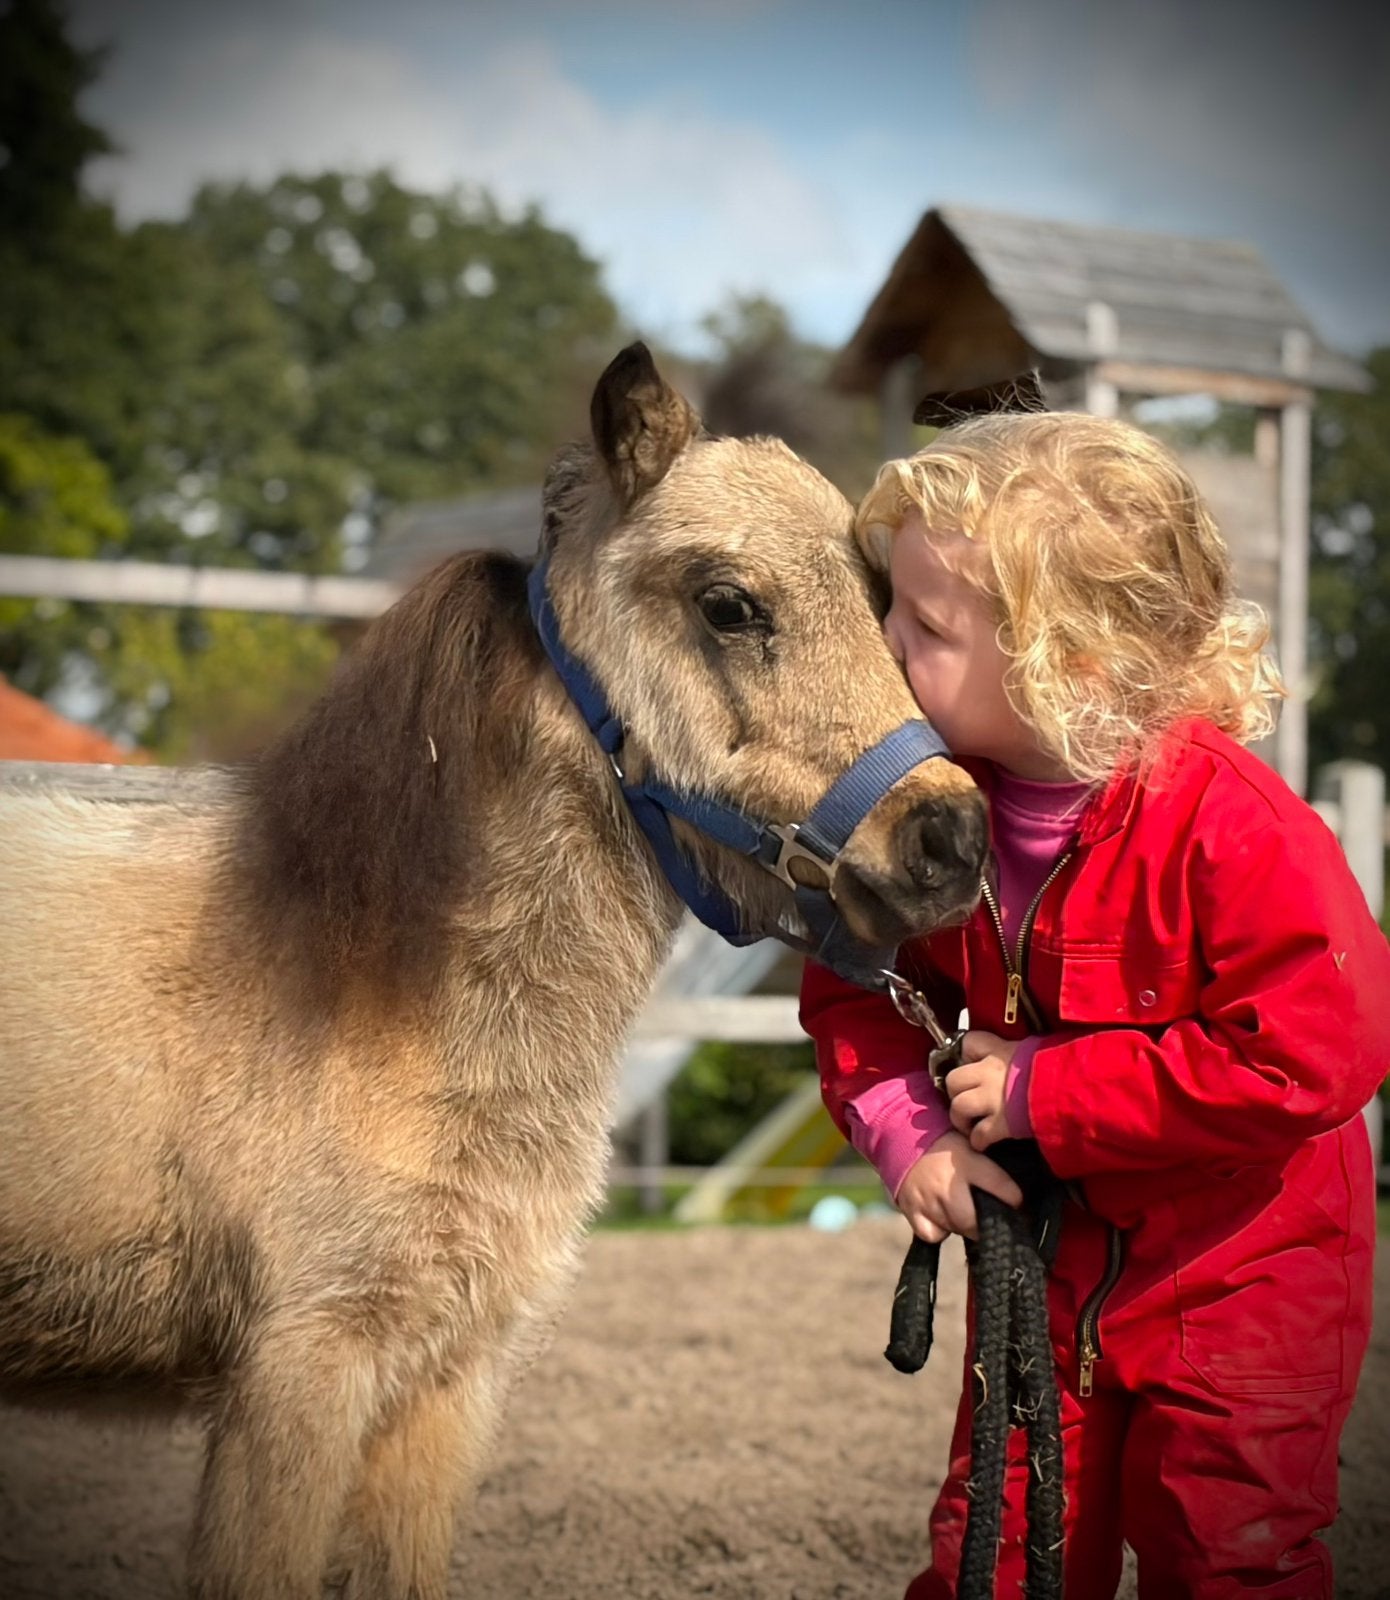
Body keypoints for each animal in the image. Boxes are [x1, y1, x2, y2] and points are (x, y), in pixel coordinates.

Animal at [0, 343, 987, 1599]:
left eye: (883, 604)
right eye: (727, 603)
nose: (952, 839)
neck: (369, 985)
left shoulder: (441, 1379)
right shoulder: (297, 1374)